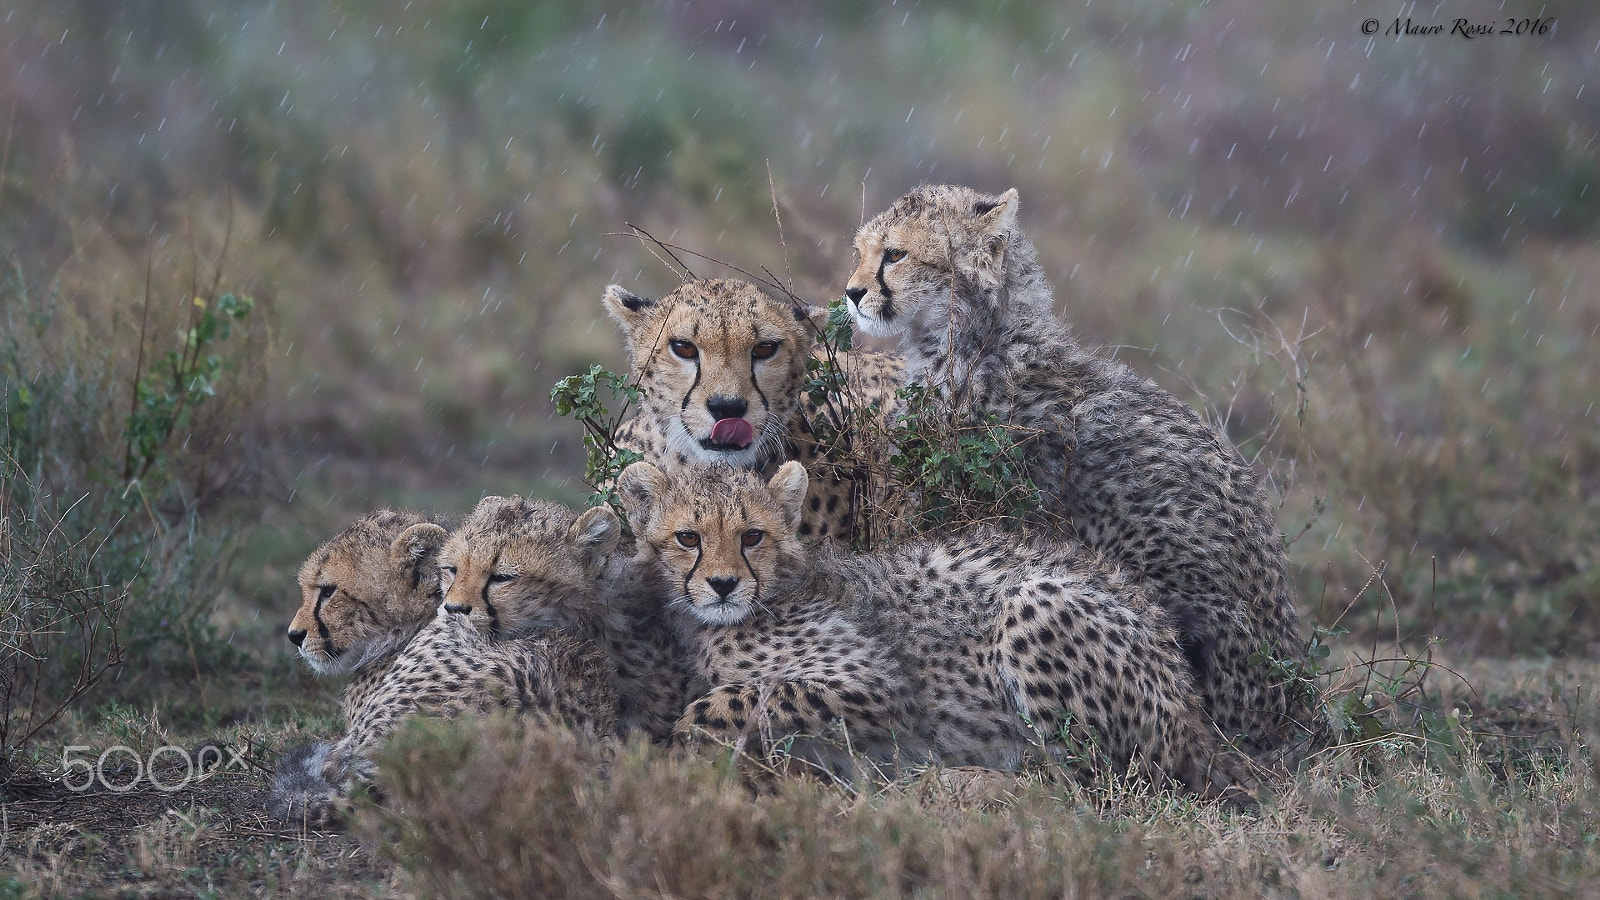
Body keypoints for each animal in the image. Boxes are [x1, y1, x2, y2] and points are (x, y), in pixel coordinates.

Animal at [617, 458, 1254, 800]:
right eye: (688, 537)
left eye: (751, 536)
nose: (724, 584)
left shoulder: (875, 682)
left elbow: (726, 702)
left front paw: (674, 757)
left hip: (1036, 602)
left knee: (1095, 785)